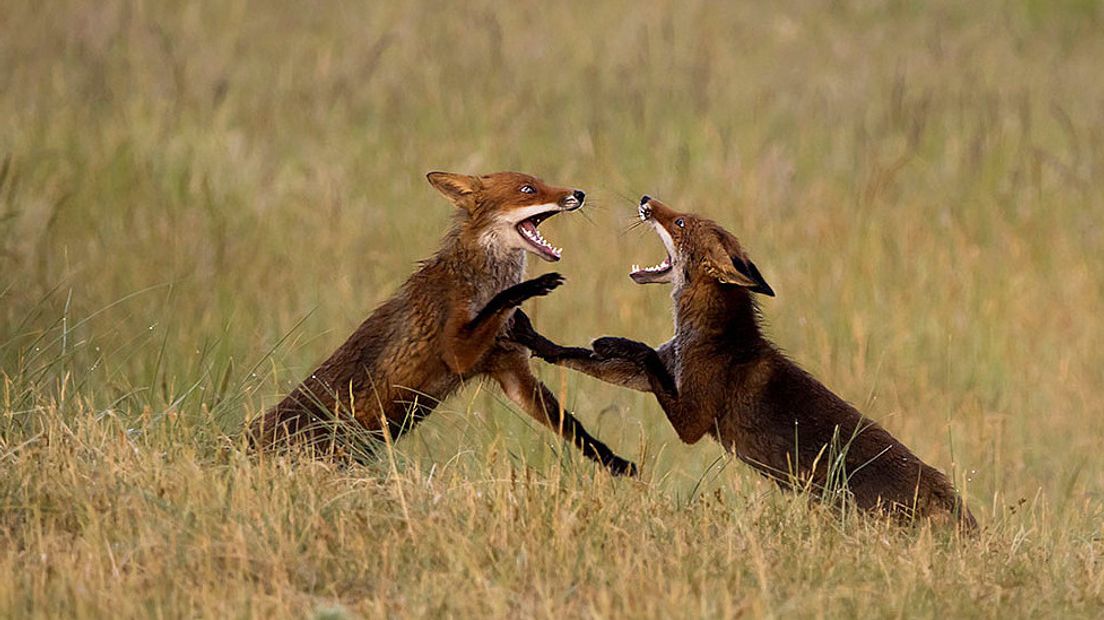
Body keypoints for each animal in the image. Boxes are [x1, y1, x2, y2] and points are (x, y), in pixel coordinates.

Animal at [246, 170, 635, 474]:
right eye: (528, 189)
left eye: (541, 182)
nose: (579, 194)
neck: (481, 277)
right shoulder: (459, 352)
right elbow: (497, 305)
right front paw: (531, 287)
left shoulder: (510, 370)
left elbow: (571, 425)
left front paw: (613, 461)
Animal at [507, 195, 975, 529]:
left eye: (680, 222)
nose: (646, 199)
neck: (710, 338)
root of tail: (945, 491)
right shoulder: (663, 374)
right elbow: (580, 358)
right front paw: (536, 339)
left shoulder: (692, 418)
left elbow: (641, 354)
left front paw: (615, 340)